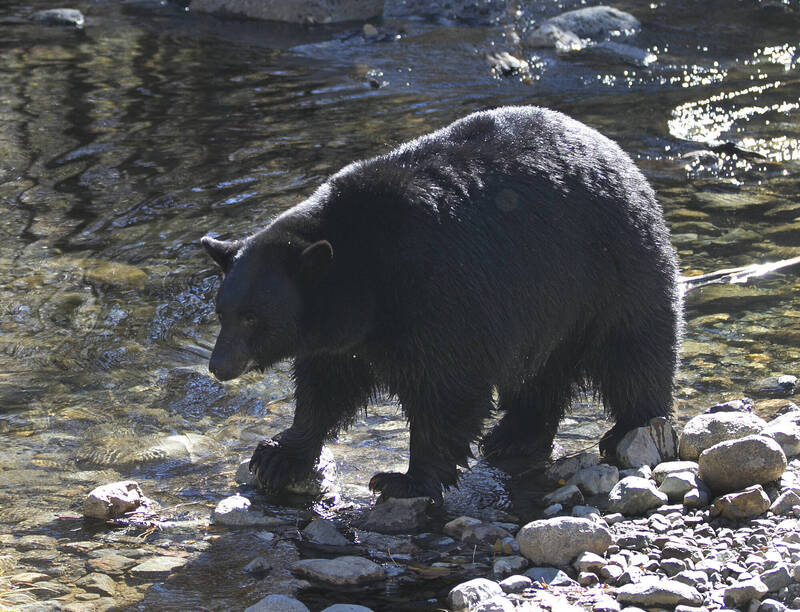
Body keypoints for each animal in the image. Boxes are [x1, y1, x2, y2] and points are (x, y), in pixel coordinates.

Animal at [202, 107, 680, 504]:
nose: (219, 366)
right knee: (544, 371)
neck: (365, 270)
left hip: (612, 269)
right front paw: (279, 454)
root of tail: (617, 154)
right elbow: (326, 386)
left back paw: (628, 430)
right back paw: (514, 435)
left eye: (252, 317)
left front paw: (405, 479)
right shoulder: (343, 335)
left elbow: (447, 388)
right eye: (222, 313)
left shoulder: (439, 290)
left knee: (632, 351)